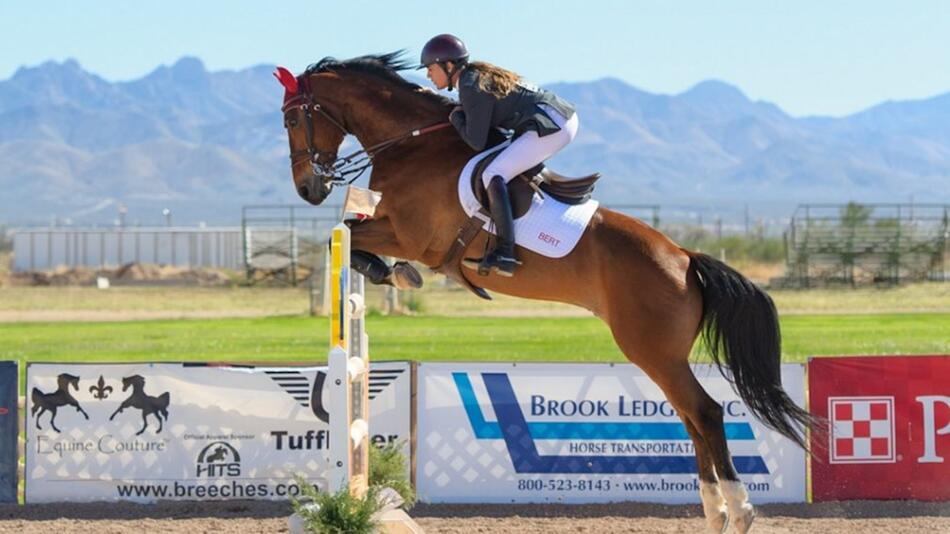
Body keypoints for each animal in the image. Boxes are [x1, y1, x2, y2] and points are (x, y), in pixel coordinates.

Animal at [278, 51, 820, 534]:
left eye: (292, 118)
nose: (308, 188)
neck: (410, 145)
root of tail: (684, 257)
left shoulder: (412, 235)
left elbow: (347, 235)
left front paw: (392, 271)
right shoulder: (395, 229)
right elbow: (348, 236)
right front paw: (390, 272)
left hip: (651, 349)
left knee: (704, 412)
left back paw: (740, 511)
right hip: (663, 354)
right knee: (691, 417)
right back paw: (715, 514)